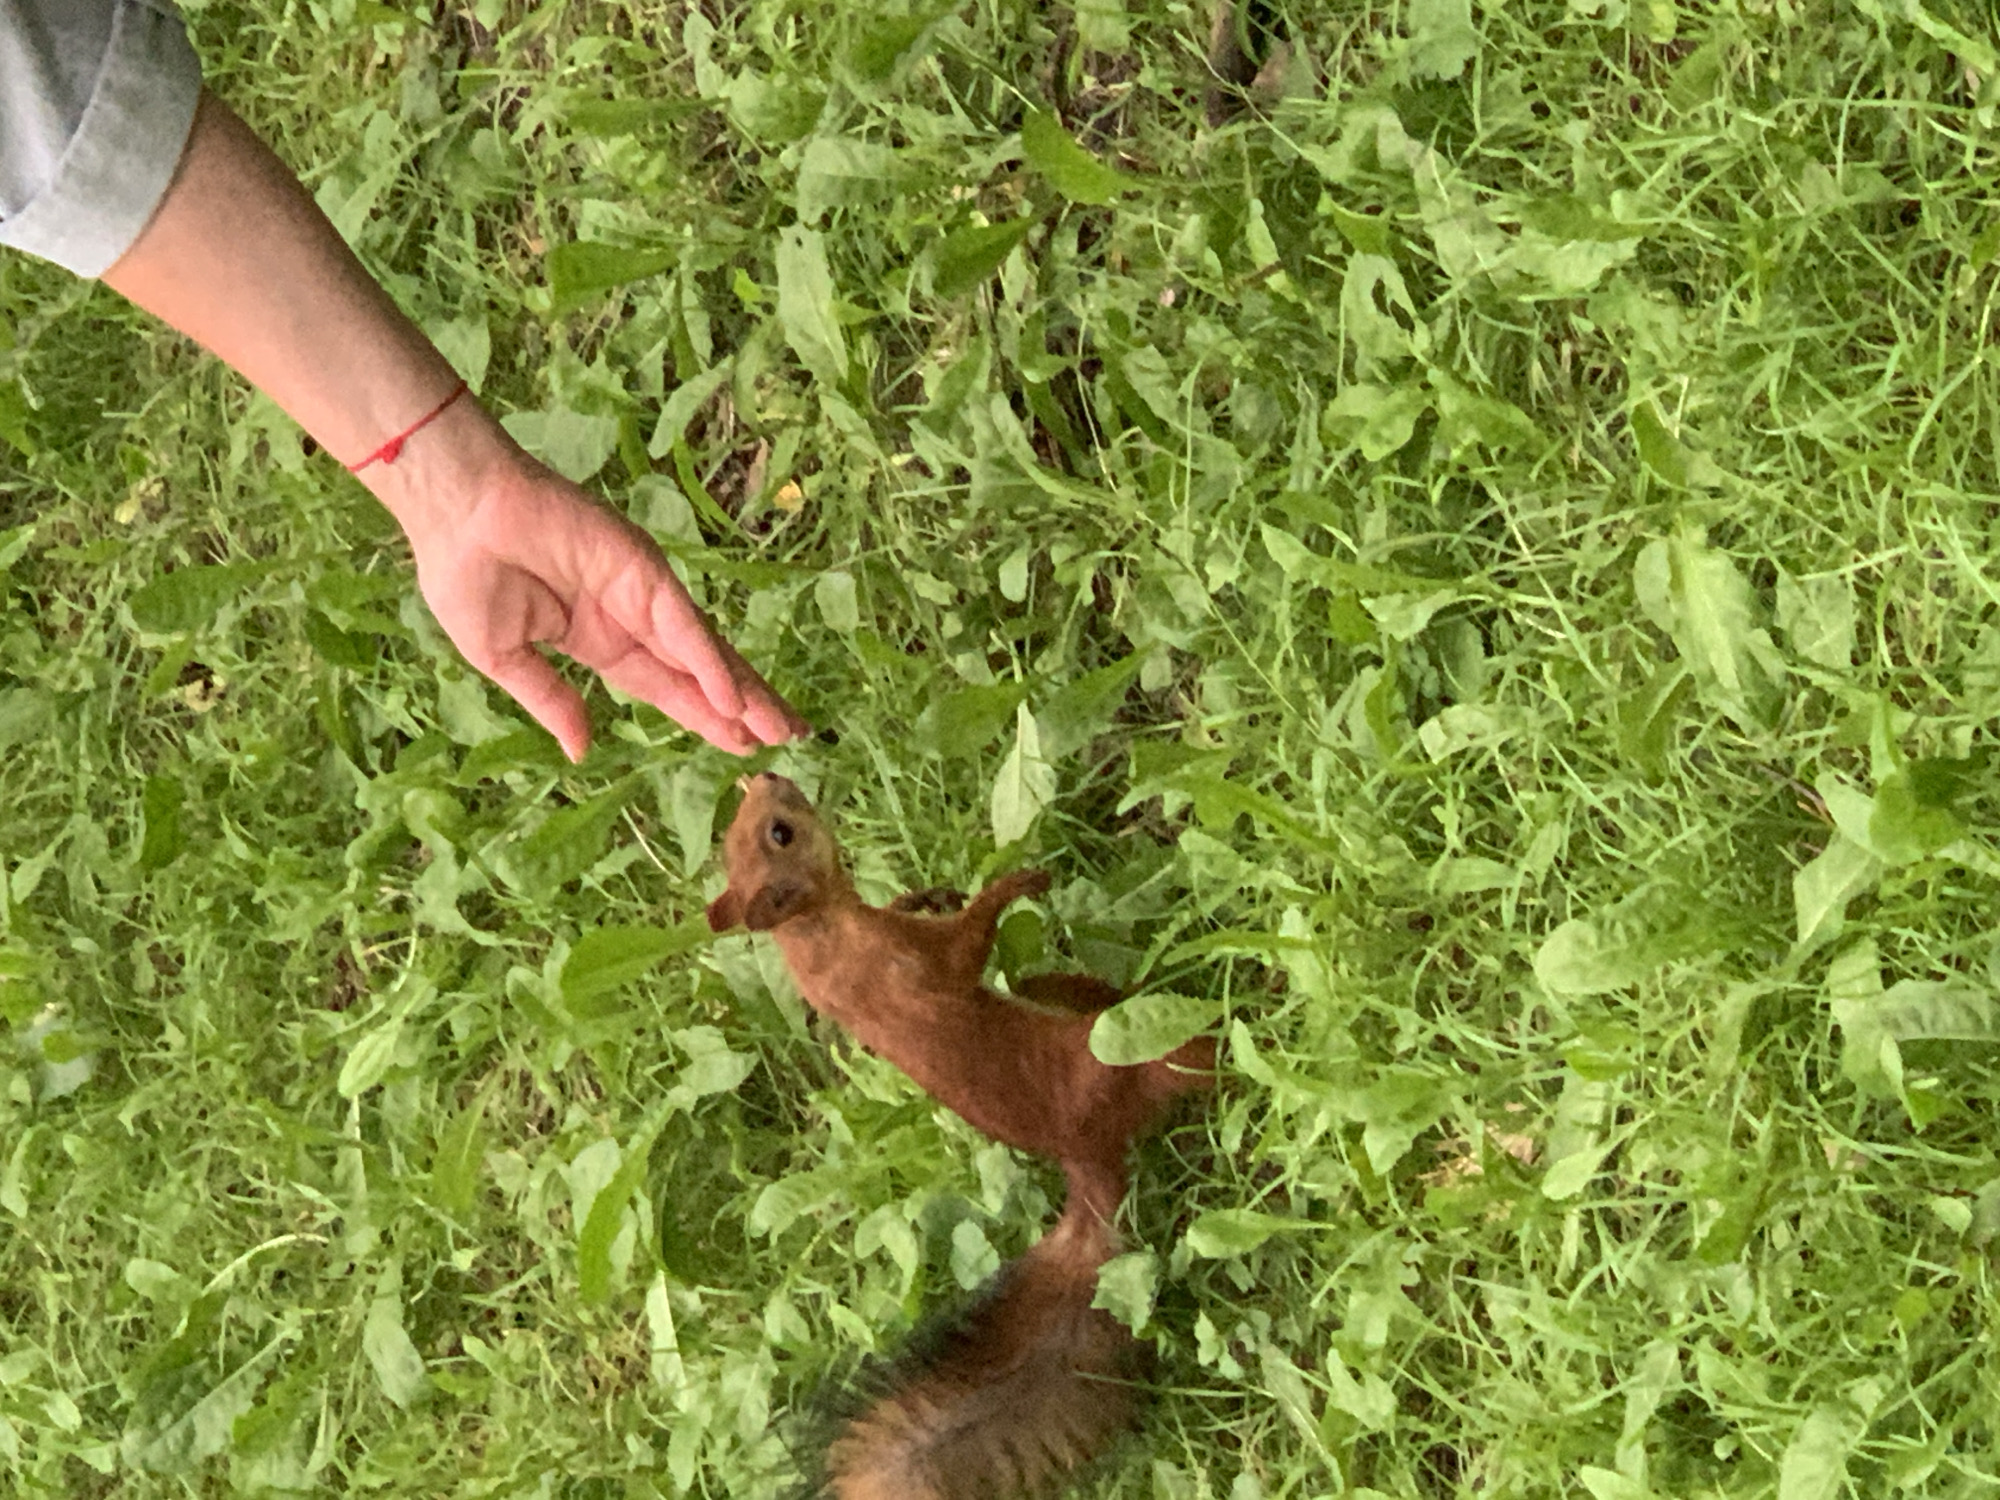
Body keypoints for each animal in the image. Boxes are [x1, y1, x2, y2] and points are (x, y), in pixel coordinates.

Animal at [705, 771, 1215, 1499]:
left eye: (748, 824)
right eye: (782, 833)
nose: (770, 775)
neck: (821, 936)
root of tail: (1086, 1154)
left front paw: (932, 893)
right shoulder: (915, 968)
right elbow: (968, 946)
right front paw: (1016, 883)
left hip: (1075, 1004)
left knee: (1067, 986)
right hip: (1123, 1062)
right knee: (1186, 1059)